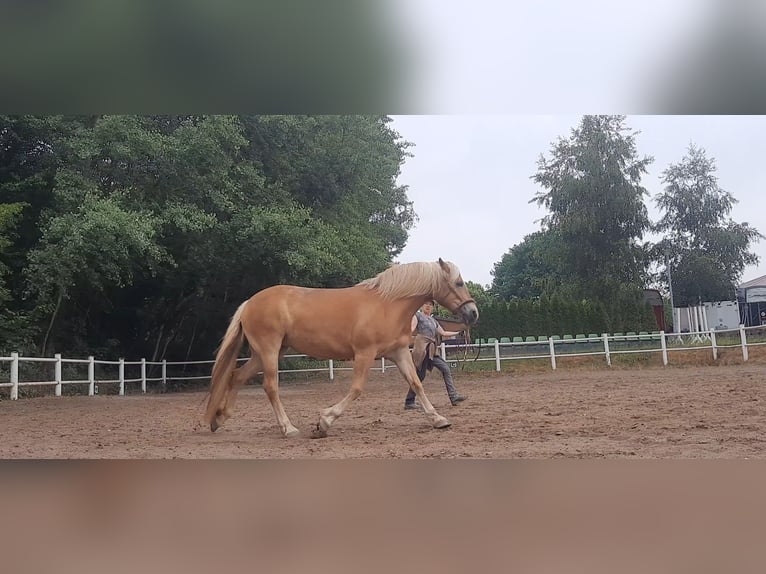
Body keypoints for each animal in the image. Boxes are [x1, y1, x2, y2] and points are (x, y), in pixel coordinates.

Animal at [204, 260, 480, 440]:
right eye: (458, 282)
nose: (473, 313)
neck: (387, 304)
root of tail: (250, 302)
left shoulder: (399, 352)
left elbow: (416, 384)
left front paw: (438, 419)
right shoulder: (365, 353)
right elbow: (356, 389)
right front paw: (323, 423)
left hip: (266, 353)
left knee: (236, 376)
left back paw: (219, 419)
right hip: (269, 350)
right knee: (270, 387)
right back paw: (288, 428)